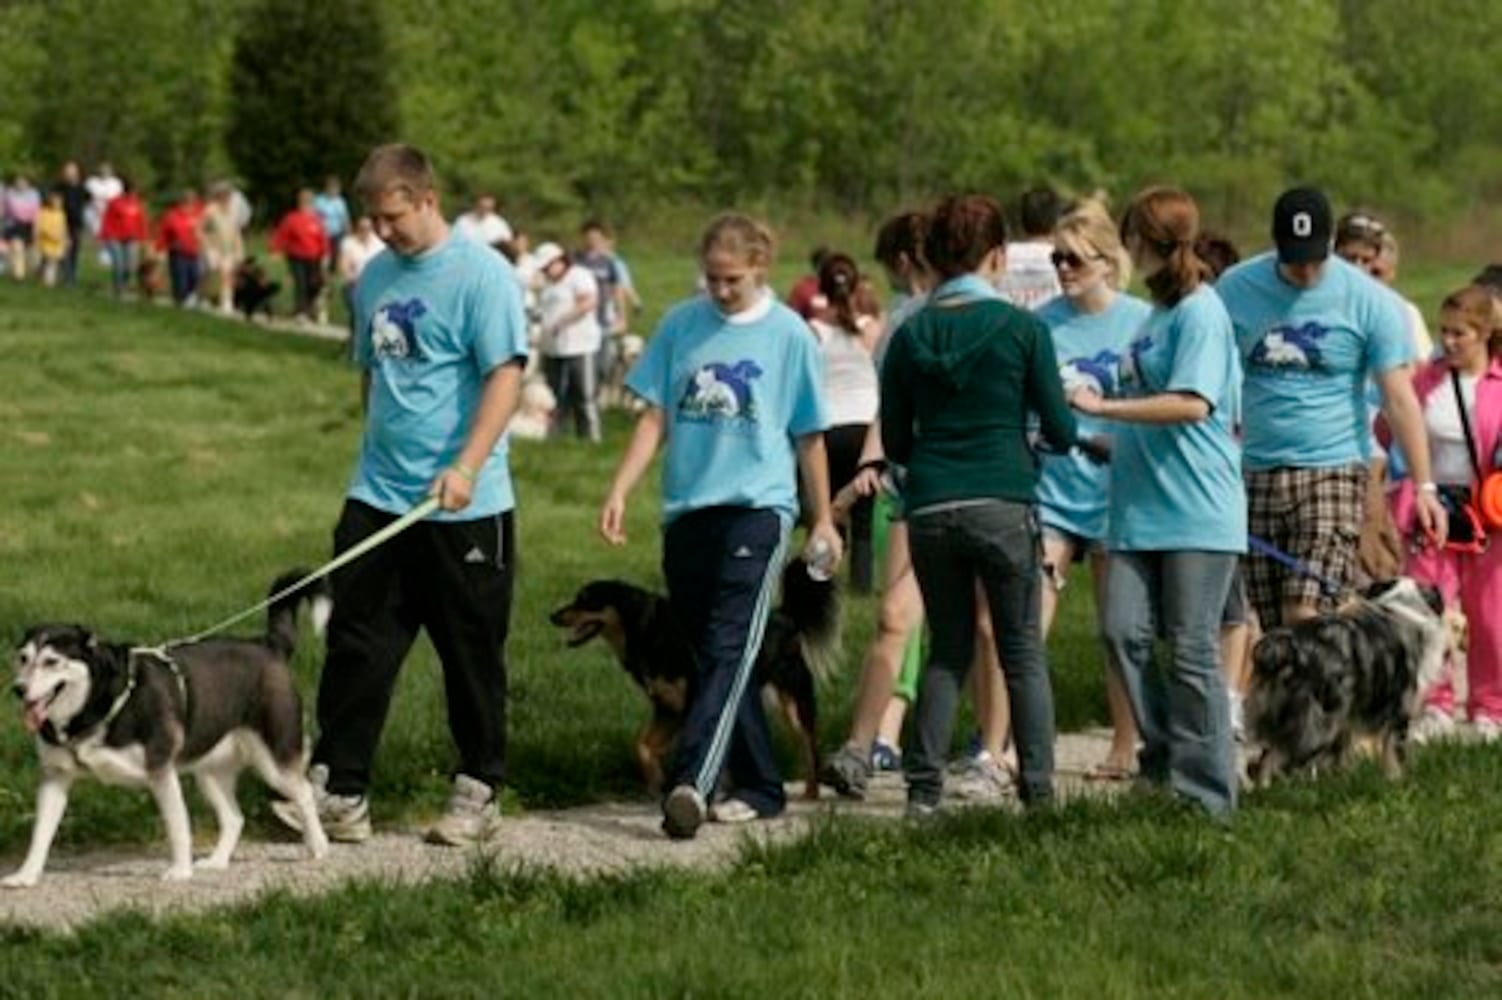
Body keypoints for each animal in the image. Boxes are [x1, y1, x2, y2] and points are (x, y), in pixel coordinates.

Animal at [5, 564, 334, 882]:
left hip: (274, 761)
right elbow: (40, 835)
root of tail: (268, 646)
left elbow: (178, 828)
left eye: (51, 661)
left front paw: (180, 872)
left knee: (304, 794)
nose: (18, 689)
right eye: (23, 658)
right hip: (209, 771)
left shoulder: (161, 771)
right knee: (234, 817)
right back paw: (217, 861)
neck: (95, 704)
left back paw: (318, 846)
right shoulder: (55, 776)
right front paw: (26, 875)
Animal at [549, 555, 841, 798]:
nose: (552, 616)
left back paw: (811, 795)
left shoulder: (691, 705)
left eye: (585, 599)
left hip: (796, 701)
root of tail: (785, 617)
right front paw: (656, 780)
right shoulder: (667, 708)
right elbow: (642, 745)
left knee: (809, 747)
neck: (647, 631)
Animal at [1243, 576, 1453, 780]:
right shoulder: (1399, 713)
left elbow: (1342, 759)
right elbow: (1395, 759)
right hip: (1317, 730)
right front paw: (1399, 783)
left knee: (1266, 763)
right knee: (1285, 765)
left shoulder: (1346, 720)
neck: (1403, 607)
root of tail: (1280, 648)